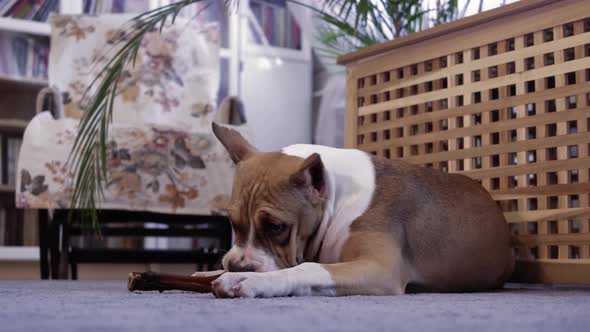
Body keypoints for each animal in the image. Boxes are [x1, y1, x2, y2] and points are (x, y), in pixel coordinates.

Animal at [193, 124, 512, 298]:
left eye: (276, 227)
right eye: (233, 223)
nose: (239, 266)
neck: (336, 196)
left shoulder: (378, 269)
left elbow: (308, 268)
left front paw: (251, 280)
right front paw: (214, 271)